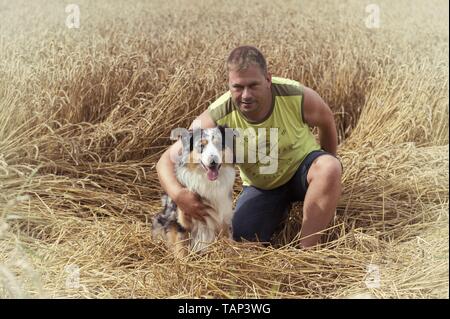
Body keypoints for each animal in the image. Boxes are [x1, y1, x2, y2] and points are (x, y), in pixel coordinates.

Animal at [151, 126, 236, 258]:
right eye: (201, 146)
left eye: (218, 144)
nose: (213, 161)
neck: (209, 182)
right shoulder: (180, 223)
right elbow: (181, 251)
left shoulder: (224, 218)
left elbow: (228, 241)